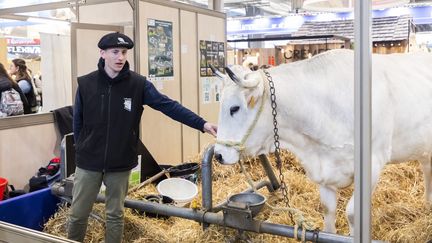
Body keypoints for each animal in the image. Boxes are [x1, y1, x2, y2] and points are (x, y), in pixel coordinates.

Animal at [214, 49, 432, 234]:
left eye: (234, 108)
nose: (218, 154)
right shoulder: (325, 171)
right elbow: (328, 211)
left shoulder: (373, 163)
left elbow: (352, 213)